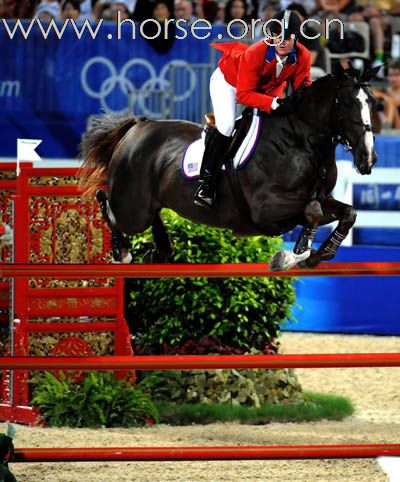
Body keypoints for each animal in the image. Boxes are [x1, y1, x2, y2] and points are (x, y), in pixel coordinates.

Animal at [79, 61, 380, 270]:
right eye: (348, 103)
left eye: (373, 103)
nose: (368, 159)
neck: (302, 140)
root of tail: (138, 126)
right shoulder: (265, 206)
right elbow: (313, 211)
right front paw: (293, 255)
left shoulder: (318, 198)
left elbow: (347, 212)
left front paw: (318, 254)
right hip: (133, 210)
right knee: (105, 200)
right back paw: (122, 251)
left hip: (147, 203)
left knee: (147, 214)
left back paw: (160, 249)